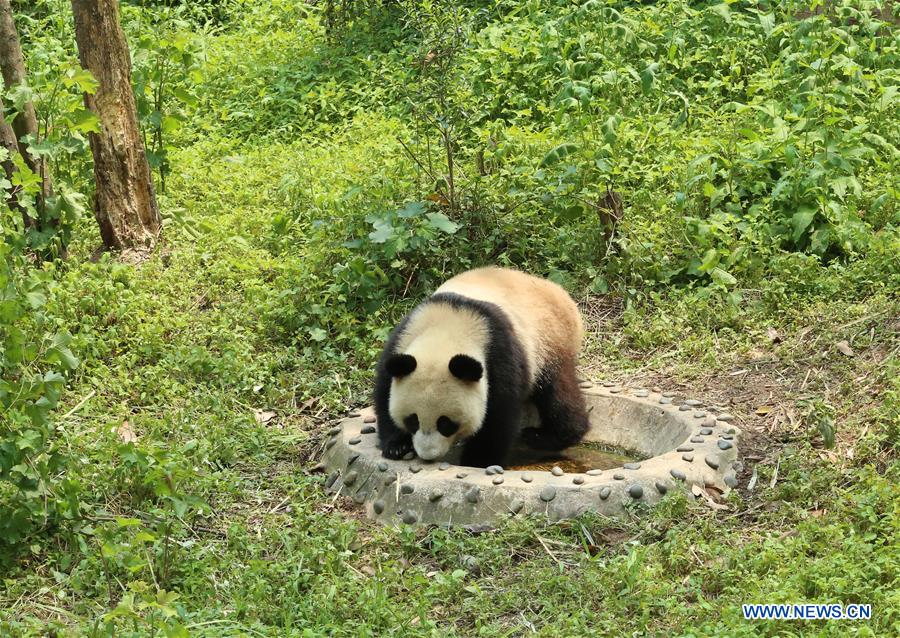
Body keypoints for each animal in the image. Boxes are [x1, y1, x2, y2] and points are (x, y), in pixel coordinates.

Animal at [370, 268, 588, 468]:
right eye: (413, 420)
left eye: (445, 423)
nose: (428, 455)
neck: (447, 330)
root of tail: (559, 292)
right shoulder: (401, 341)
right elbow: (384, 394)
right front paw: (397, 446)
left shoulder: (499, 352)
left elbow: (499, 414)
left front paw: (478, 460)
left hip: (549, 342)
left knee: (558, 393)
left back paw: (545, 436)